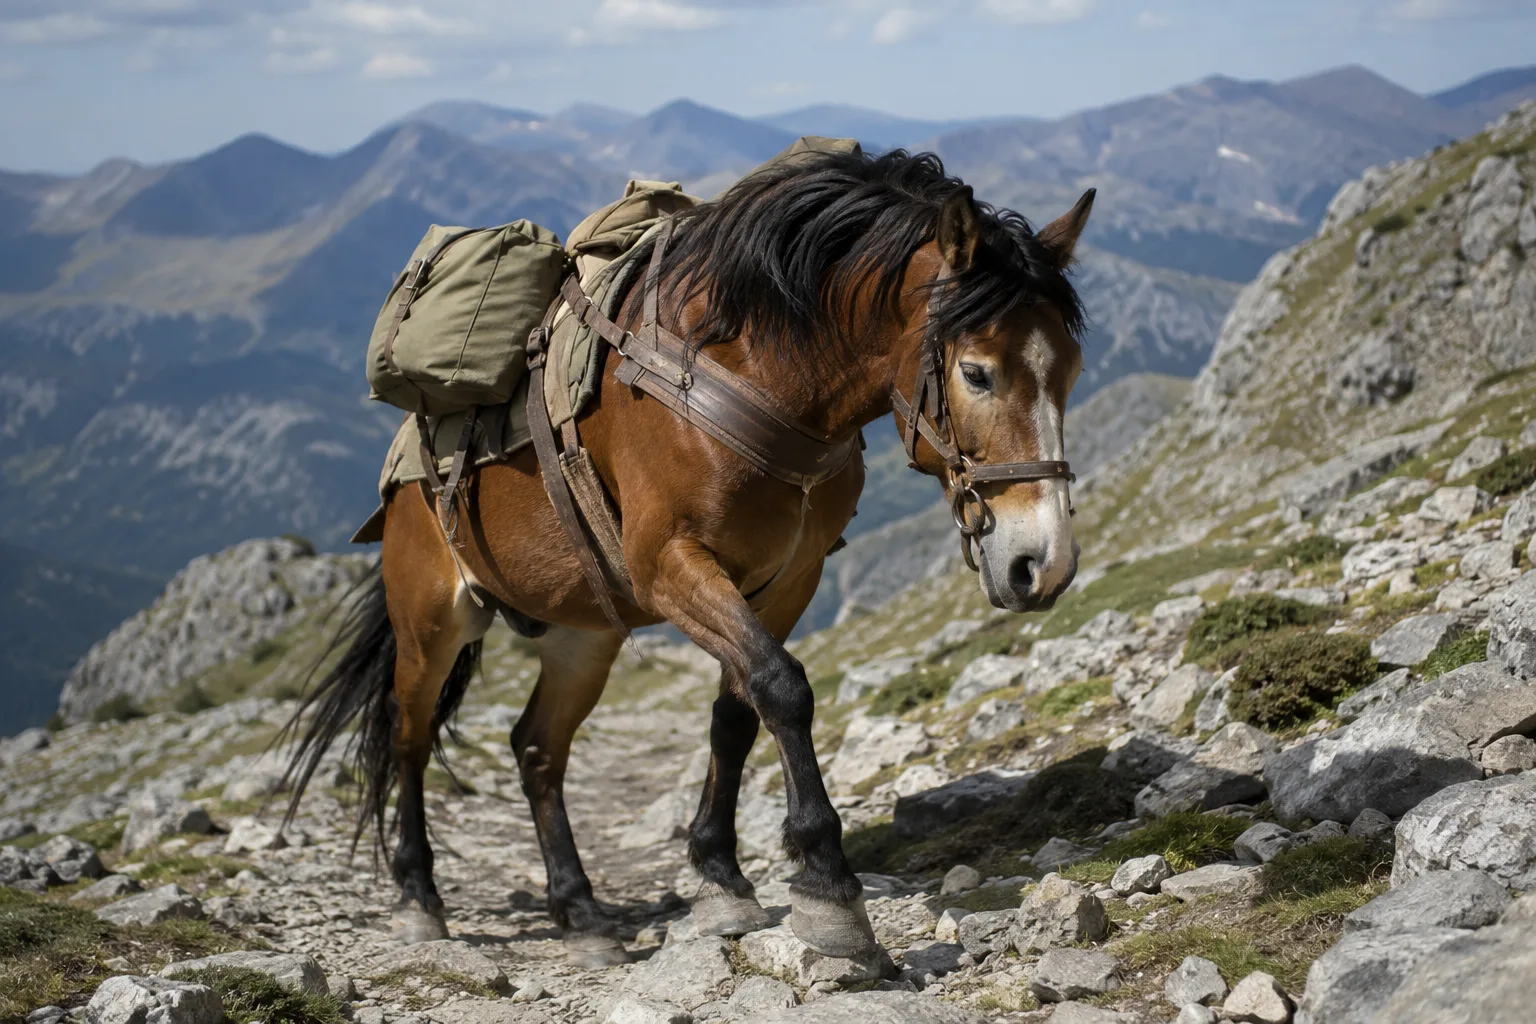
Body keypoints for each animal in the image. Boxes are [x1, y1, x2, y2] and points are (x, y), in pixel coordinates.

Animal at [281, 147, 1093, 967]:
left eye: (1071, 373)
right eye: (978, 373)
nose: (1043, 563)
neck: (756, 371)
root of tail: (400, 473)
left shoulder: (787, 580)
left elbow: (739, 711)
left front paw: (722, 878)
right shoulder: (670, 567)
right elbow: (783, 687)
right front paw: (829, 888)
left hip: (583, 636)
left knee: (536, 749)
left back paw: (580, 909)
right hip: (431, 622)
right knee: (408, 738)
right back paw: (420, 897)